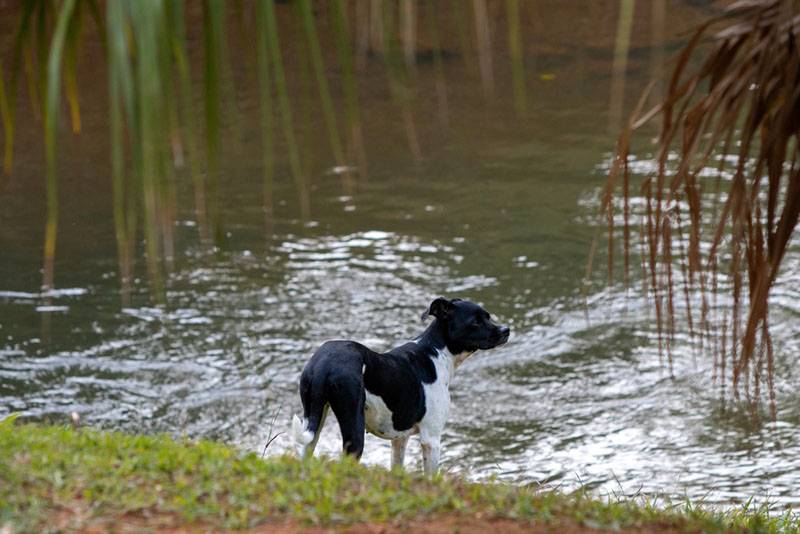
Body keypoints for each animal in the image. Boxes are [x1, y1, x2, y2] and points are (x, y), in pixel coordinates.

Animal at [290, 298, 510, 478]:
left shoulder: (400, 440)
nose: (506, 330)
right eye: (475, 322)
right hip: (353, 432)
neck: (436, 352)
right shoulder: (431, 439)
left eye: (488, 316)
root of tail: (323, 364)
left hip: (314, 423)